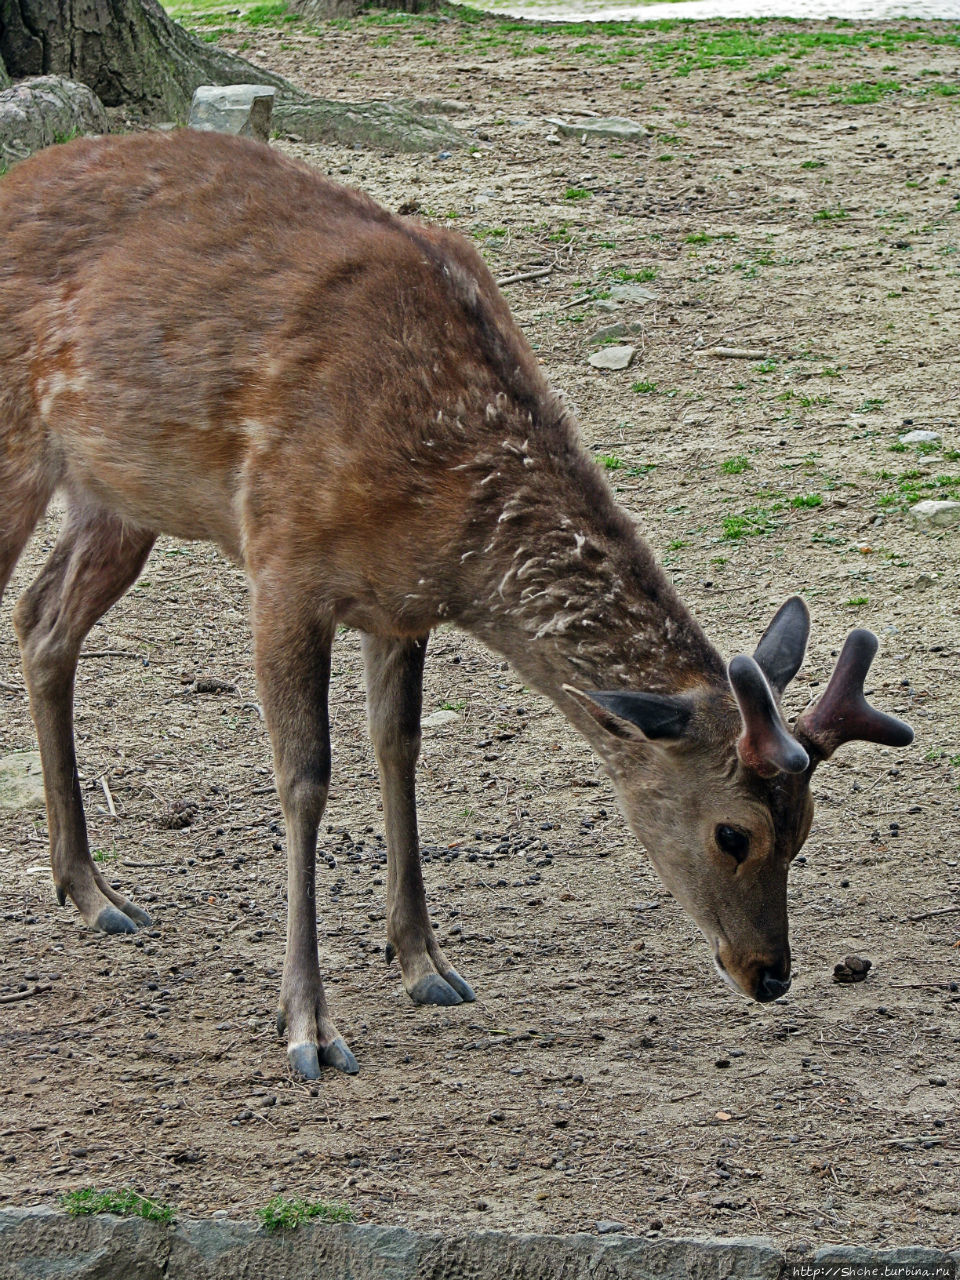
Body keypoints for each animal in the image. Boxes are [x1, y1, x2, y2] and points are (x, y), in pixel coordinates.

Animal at [0, 129, 916, 1075]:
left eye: (805, 826)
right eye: (733, 833)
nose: (769, 973)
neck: (449, 507)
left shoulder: (399, 606)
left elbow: (397, 750)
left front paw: (424, 963)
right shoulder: (282, 561)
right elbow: (304, 779)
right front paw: (309, 1026)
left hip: (118, 498)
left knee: (42, 621)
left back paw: (93, 891)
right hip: (21, 449)